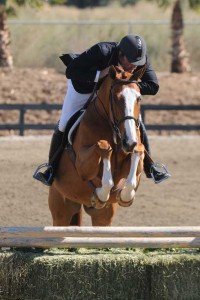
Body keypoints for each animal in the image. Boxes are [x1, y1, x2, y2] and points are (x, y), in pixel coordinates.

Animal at [49, 65, 145, 225]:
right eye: (116, 98)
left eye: (139, 98)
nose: (129, 142)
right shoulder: (82, 164)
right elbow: (103, 147)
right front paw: (100, 194)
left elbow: (138, 153)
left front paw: (123, 195)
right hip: (61, 211)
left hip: (102, 218)